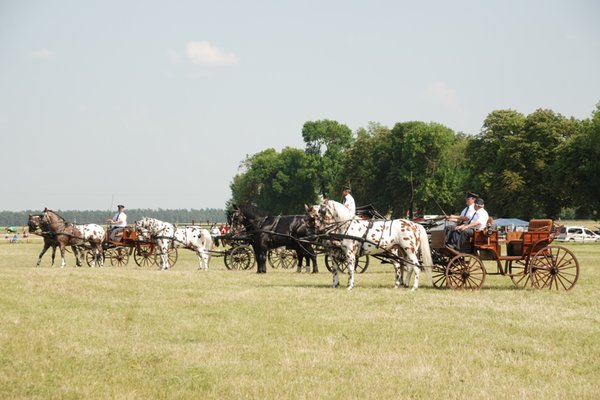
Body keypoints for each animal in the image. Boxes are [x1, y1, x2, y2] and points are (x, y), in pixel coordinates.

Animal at [304, 200, 432, 290]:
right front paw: (337, 284)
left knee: (416, 266)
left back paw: (414, 287)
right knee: (405, 267)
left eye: (320, 212)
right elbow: (336, 269)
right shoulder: (337, 253)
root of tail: (414, 225)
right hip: (400, 251)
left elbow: (350, 269)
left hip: (410, 251)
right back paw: (401, 285)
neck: (347, 226)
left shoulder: (349, 253)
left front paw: (350, 286)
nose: (314, 230)